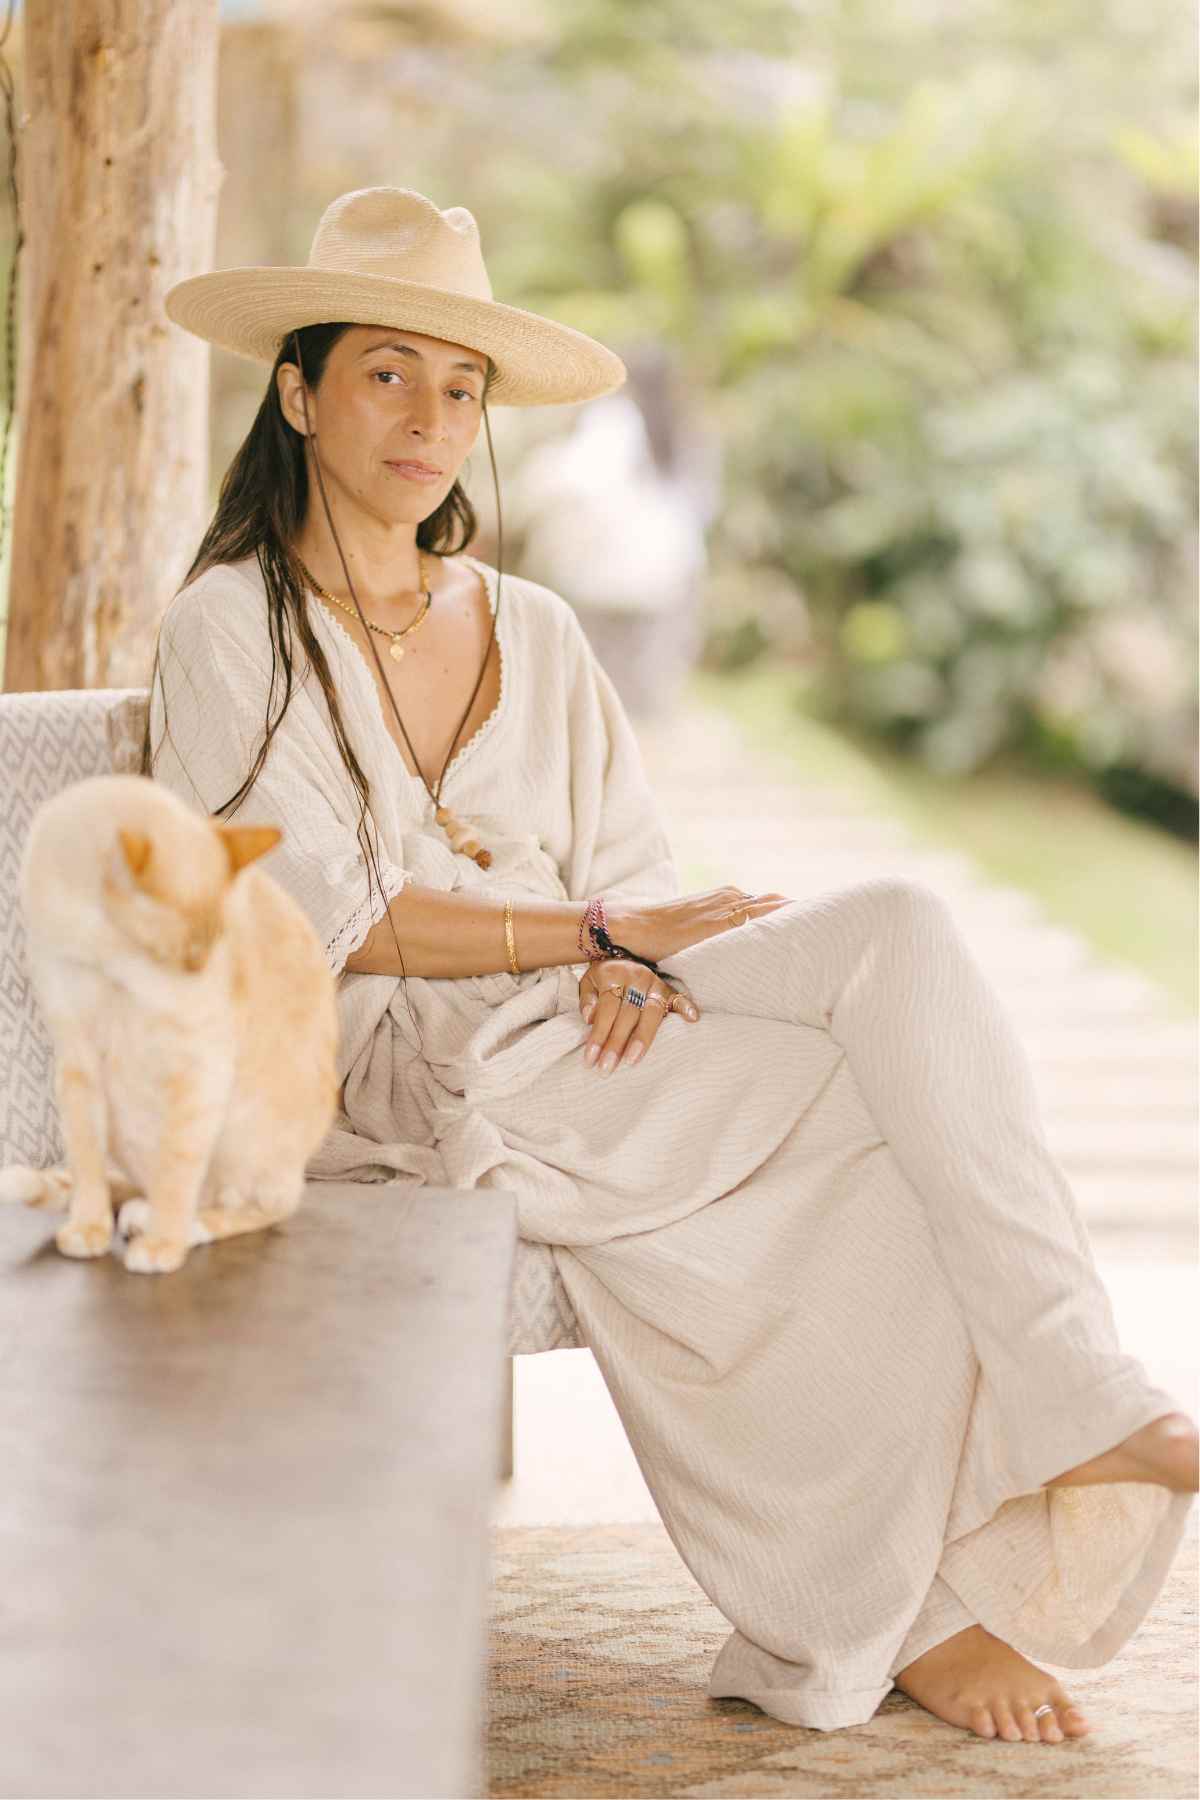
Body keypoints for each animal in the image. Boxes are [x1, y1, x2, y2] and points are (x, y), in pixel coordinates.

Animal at [0, 781, 340, 1274]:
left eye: (216, 940)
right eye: (181, 947)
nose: (197, 968)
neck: (106, 964)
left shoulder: (200, 1066)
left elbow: (178, 1167)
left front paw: (165, 1243)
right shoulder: (77, 1061)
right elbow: (86, 1163)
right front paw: (89, 1226)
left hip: (248, 1138)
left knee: (262, 1206)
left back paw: (182, 1226)